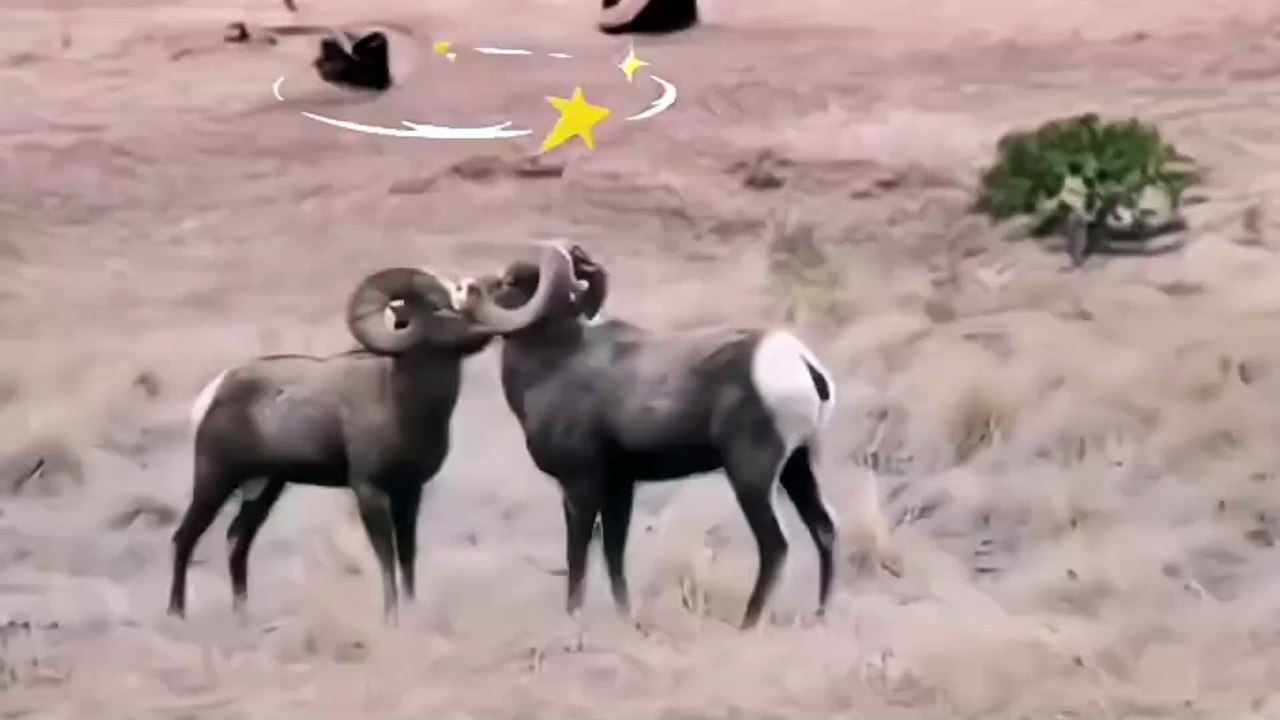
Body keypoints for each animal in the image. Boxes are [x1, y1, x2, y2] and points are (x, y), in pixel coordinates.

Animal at [167, 248, 580, 623]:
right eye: (440, 308)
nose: (489, 327)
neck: (402, 405)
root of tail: (216, 390)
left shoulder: (409, 492)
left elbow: (407, 555)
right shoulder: (370, 493)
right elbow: (385, 559)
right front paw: (390, 618)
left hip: (265, 489)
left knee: (237, 541)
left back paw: (242, 614)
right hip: (215, 479)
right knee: (185, 537)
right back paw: (177, 614)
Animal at [457, 242, 838, 630]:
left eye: (505, 281)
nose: (464, 289)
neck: (553, 363)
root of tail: (802, 364)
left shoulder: (580, 487)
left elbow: (577, 557)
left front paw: (574, 619)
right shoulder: (619, 488)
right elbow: (614, 553)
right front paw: (626, 619)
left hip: (752, 478)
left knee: (775, 545)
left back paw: (748, 624)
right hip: (797, 468)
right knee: (824, 530)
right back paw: (819, 616)